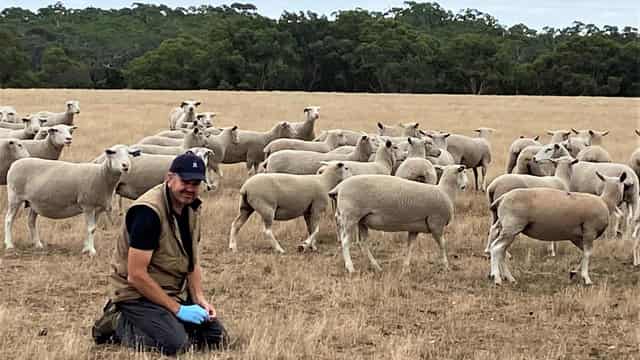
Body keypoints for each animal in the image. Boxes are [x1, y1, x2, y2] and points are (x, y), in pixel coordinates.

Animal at [4, 145, 140, 255]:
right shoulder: (88, 204)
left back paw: (38, 244)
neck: (102, 175)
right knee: (9, 220)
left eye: (129, 154)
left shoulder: (98, 208)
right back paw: (9, 245)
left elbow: (92, 228)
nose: (125, 166)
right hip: (15, 196)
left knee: (31, 222)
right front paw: (92, 251)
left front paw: (85, 248)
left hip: (34, 203)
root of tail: (14, 165)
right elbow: (91, 229)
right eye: (113, 153)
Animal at [330, 165, 470, 272]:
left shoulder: (415, 228)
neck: (446, 192)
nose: (466, 186)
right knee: (345, 242)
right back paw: (350, 267)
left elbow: (410, 246)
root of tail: (339, 187)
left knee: (362, 243)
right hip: (350, 216)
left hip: (361, 220)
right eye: (463, 172)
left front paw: (406, 267)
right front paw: (446, 265)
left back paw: (376, 266)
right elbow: (443, 245)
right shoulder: (436, 223)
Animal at [488, 172, 628, 284]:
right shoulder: (589, 231)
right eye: (625, 186)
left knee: (501, 250)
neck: (606, 202)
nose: (623, 201)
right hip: (512, 227)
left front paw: (573, 272)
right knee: (496, 248)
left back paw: (509, 278)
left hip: (506, 227)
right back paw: (497, 278)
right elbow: (588, 254)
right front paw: (586, 278)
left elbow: (584, 253)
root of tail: (502, 198)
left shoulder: (576, 237)